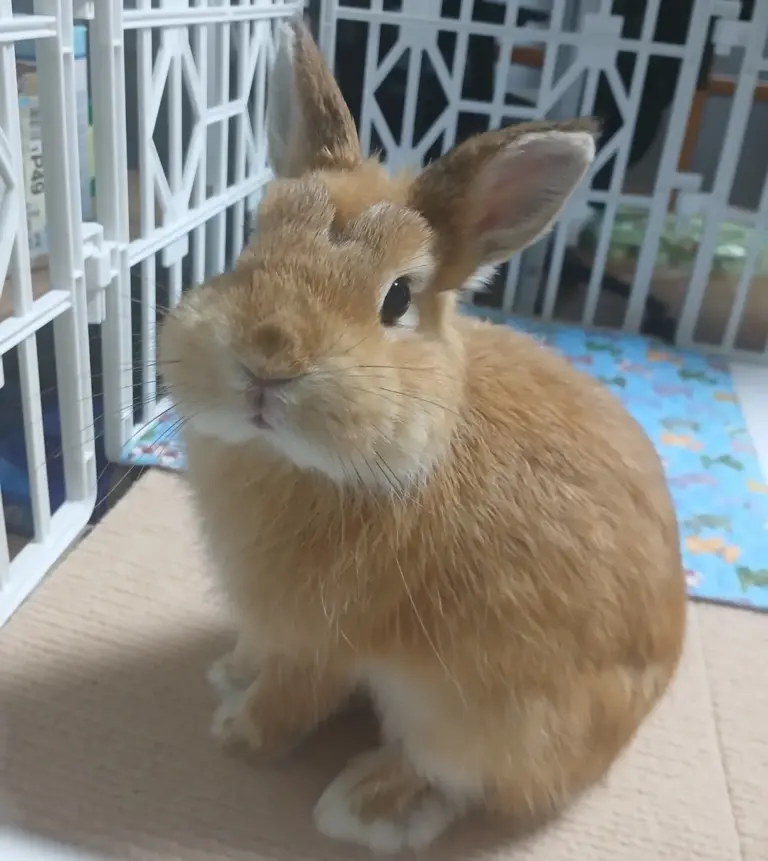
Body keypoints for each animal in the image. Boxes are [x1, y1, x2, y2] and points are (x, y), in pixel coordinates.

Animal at [158, 17, 686, 854]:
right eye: (250, 245)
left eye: (397, 299)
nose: (267, 361)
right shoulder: (276, 628)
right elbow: (258, 659)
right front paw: (228, 673)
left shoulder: (318, 644)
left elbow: (288, 701)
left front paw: (236, 734)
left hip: (476, 716)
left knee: (456, 776)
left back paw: (363, 804)